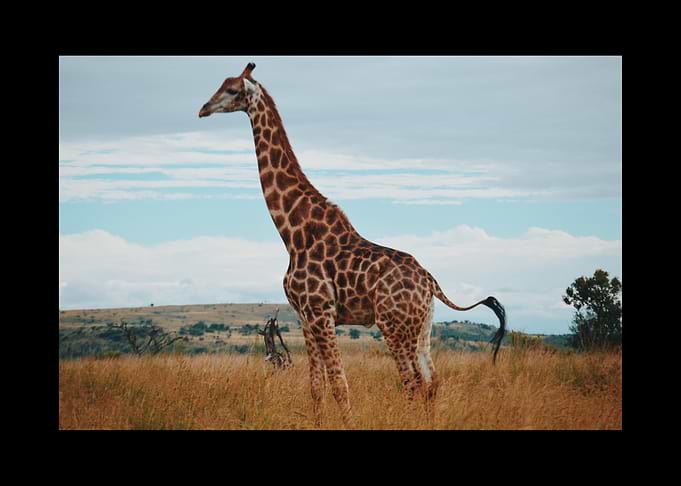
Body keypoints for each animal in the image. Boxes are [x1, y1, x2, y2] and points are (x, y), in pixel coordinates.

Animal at [199, 63, 506, 426]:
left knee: (413, 383)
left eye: (232, 90)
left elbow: (339, 385)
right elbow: (316, 387)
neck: (294, 233)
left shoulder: (321, 313)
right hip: (422, 328)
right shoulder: (304, 317)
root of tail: (430, 281)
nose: (203, 109)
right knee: (432, 383)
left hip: (393, 326)